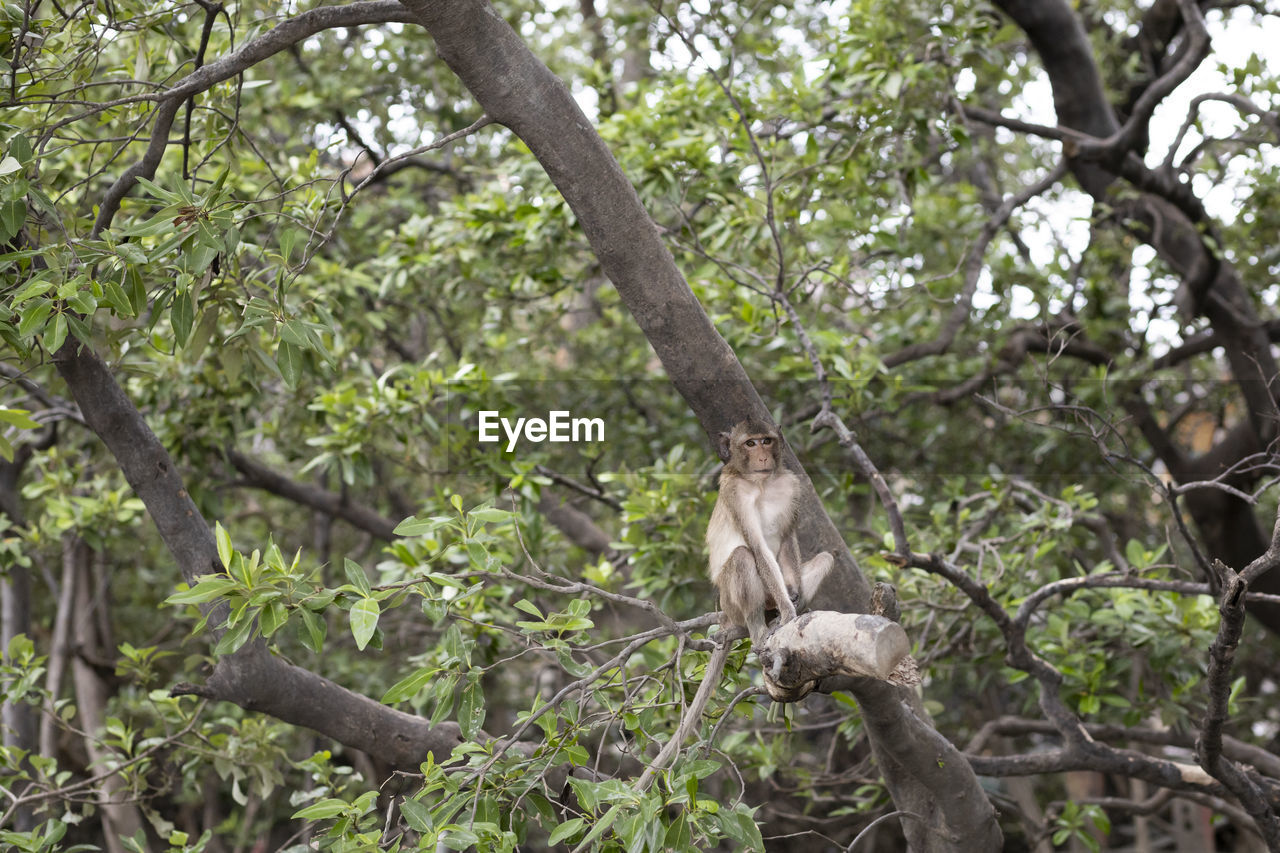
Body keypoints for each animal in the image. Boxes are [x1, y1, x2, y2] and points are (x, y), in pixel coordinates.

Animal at [706, 414, 834, 640]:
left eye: (766, 441)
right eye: (750, 443)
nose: (763, 458)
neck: (761, 483)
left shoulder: (791, 485)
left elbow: (787, 537)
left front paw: (793, 595)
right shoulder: (736, 493)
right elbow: (758, 548)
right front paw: (788, 611)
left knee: (825, 559)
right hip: (730, 605)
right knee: (741, 556)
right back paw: (758, 630)